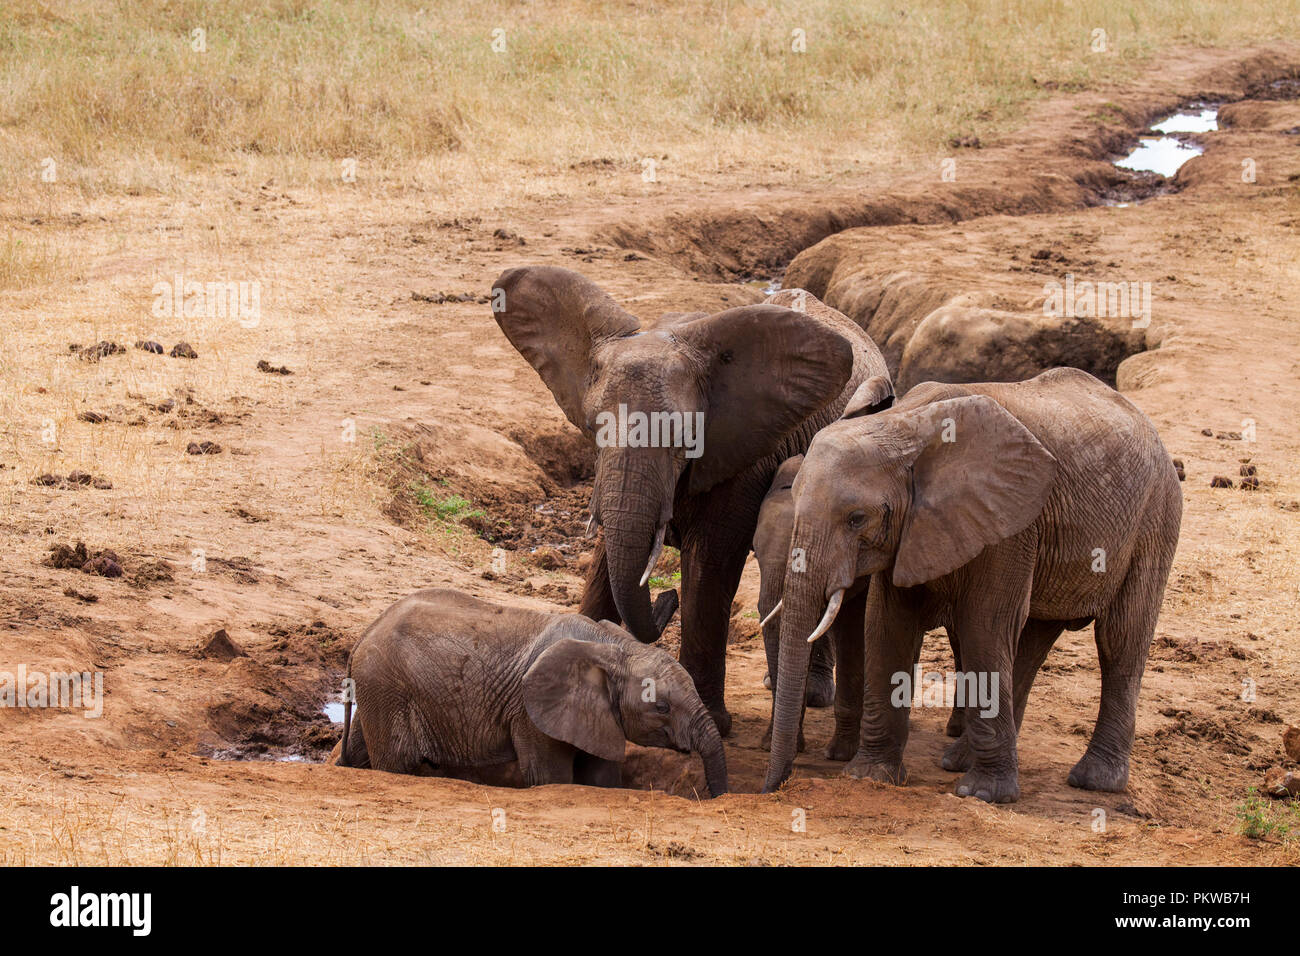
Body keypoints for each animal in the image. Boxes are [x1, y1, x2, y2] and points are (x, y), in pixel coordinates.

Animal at [332, 587, 733, 796]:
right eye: (662, 708)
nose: (714, 797)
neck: (614, 646)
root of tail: (364, 634)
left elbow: (601, 778)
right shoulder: (531, 711)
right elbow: (550, 778)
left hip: (378, 688)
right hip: (386, 686)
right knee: (396, 762)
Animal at [488, 270, 894, 738]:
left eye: (686, 438)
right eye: (593, 429)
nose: (666, 598)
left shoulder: (746, 454)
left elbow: (709, 564)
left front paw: (714, 722)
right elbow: (607, 558)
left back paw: (809, 694)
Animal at [764, 369, 1185, 806]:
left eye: (856, 518)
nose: (776, 786)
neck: (904, 426)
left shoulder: (1010, 523)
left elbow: (984, 624)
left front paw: (983, 794)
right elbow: (888, 624)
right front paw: (871, 777)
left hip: (1156, 517)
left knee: (1119, 640)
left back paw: (1094, 781)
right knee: (1033, 639)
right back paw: (959, 759)